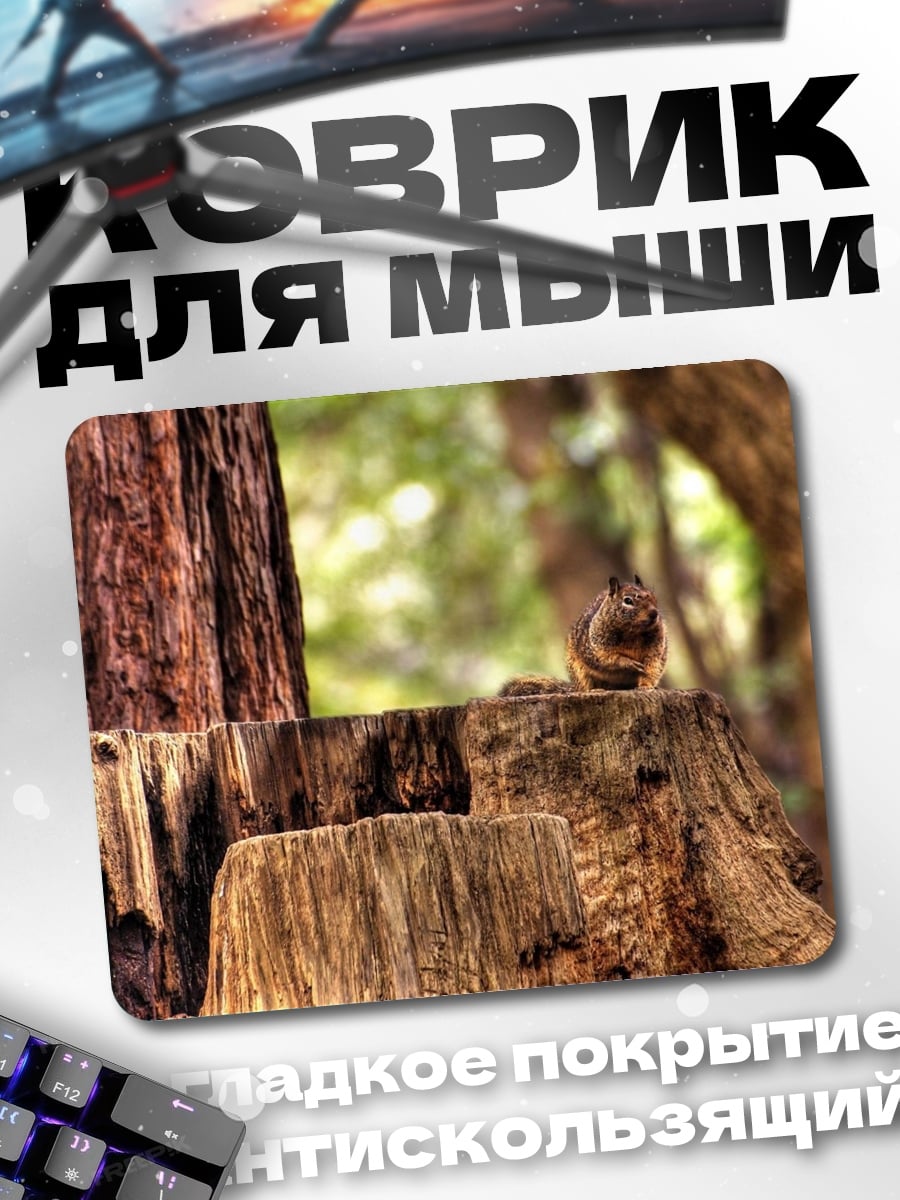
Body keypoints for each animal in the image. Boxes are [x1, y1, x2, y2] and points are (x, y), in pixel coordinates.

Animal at [499, 575, 667, 697]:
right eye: (628, 600)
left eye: (653, 596)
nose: (654, 613)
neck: (633, 632)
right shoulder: (596, 646)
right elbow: (607, 659)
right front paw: (629, 663)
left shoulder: (656, 649)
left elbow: (652, 667)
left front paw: (646, 686)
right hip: (578, 670)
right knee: (585, 686)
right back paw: (595, 690)